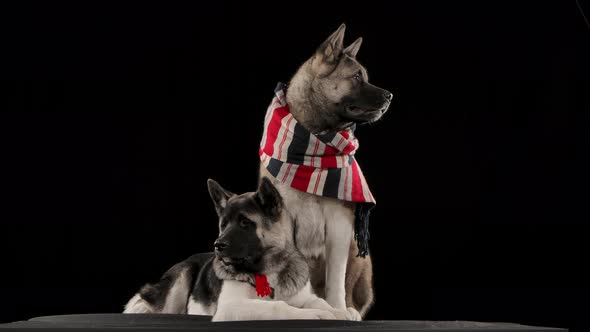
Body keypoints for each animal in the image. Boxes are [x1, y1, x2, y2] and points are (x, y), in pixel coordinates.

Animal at [125, 179, 360, 322]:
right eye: (223, 225)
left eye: (245, 223)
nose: (217, 245)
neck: (268, 269)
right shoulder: (232, 307)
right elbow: (278, 306)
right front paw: (314, 315)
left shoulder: (304, 296)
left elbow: (318, 301)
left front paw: (337, 311)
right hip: (182, 276)